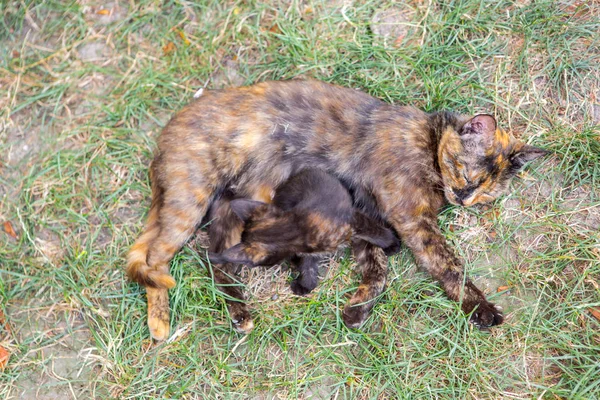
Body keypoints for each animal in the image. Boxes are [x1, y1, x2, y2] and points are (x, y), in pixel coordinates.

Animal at [204, 168, 400, 332]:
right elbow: (306, 263)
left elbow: (373, 229)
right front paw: (306, 284)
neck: (295, 227)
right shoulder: (303, 248)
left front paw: (391, 242)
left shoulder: (353, 218)